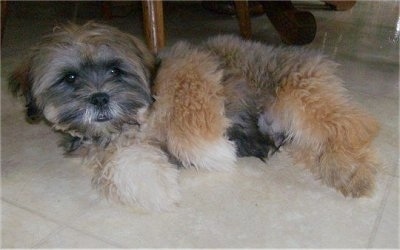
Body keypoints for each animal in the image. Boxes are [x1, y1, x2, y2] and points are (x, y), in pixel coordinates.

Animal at [8, 22, 378, 211]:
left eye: (115, 70)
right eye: (70, 78)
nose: (99, 98)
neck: (140, 114)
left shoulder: (191, 73)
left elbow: (191, 129)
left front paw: (214, 152)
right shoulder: (118, 146)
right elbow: (128, 162)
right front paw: (155, 187)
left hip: (301, 100)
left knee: (354, 127)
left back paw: (355, 173)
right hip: (294, 129)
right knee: (324, 145)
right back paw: (341, 171)